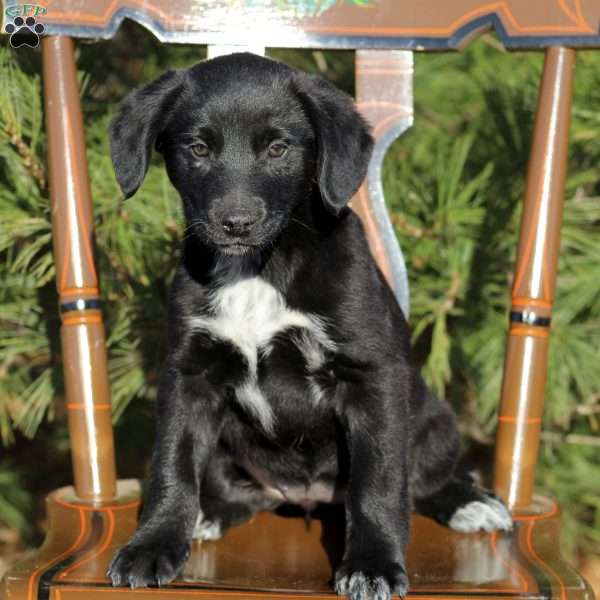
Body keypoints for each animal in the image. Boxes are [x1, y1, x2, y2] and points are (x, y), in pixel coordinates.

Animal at [108, 52, 510, 600]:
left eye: (278, 147)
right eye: (198, 148)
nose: (236, 223)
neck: (259, 268)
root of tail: (307, 495)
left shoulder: (370, 376)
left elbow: (378, 480)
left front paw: (372, 564)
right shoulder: (188, 373)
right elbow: (173, 463)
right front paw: (152, 545)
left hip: (435, 419)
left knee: (422, 483)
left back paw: (470, 503)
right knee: (231, 490)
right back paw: (209, 512)